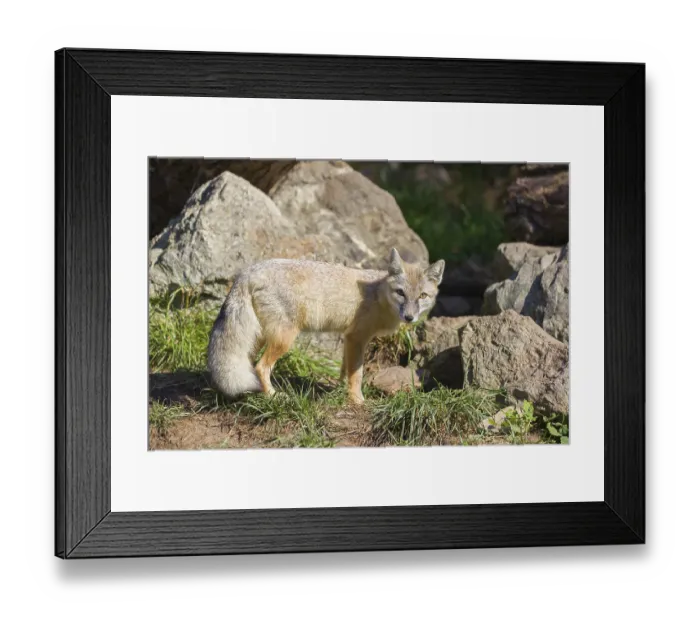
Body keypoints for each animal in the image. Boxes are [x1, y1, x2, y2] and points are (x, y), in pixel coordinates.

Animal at [207, 248, 445, 404]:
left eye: (423, 296)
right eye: (401, 293)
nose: (409, 317)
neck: (378, 295)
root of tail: (250, 270)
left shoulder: (349, 338)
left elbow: (345, 370)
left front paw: (340, 390)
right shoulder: (357, 338)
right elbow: (357, 374)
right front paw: (357, 400)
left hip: (261, 337)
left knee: (249, 365)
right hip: (284, 339)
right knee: (260, 367)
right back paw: (273, 396)